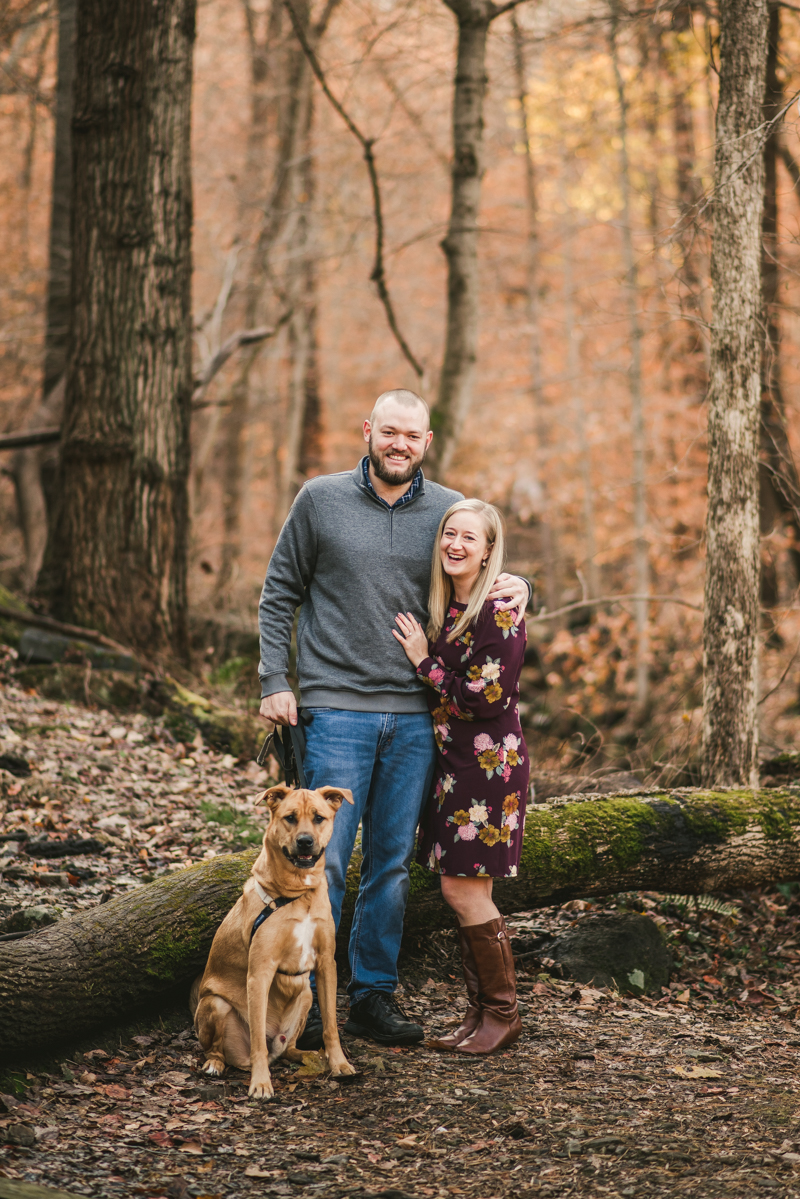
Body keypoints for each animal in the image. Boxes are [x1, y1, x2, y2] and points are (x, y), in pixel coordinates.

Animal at [190, 781, 357, 1098]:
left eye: (318, 818)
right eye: (290, 817)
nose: (305, 841)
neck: (298, 894)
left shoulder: (326, 964)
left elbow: (331, 1026)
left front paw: (339, 1063)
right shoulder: (260, 973)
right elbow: (256, 1039)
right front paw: (260, 1083)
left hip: (305, 996)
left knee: (288, 1047)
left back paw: (309, 1055)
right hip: (215, 1004)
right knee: (220, 1049)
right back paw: (216, 1064)